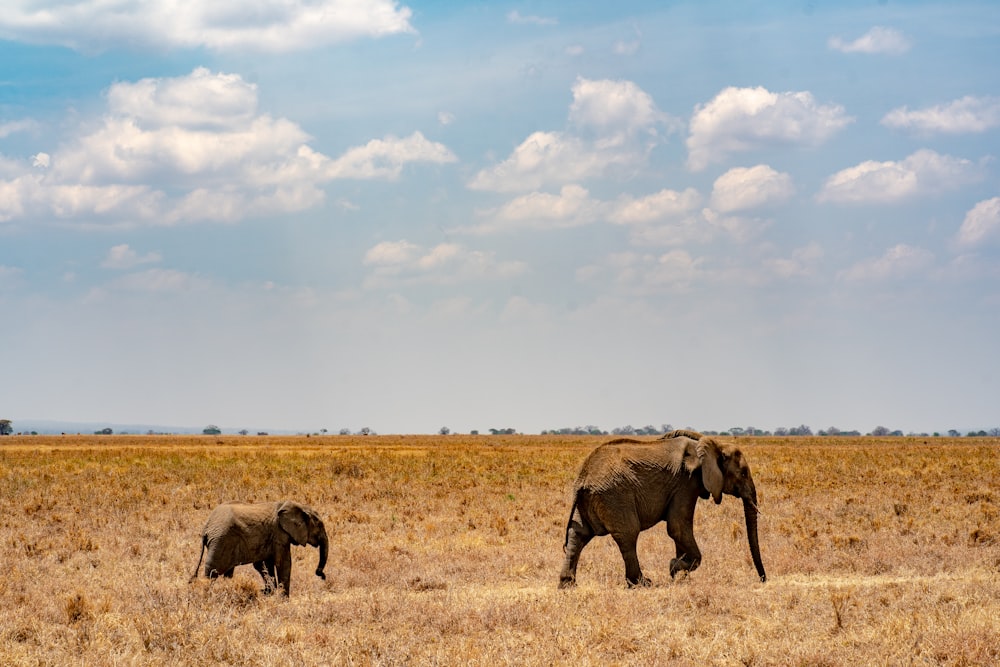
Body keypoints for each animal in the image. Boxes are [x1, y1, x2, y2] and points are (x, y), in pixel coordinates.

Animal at [188, 500, 328, 596]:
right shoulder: (279, 535)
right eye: (320, 526)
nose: (322, 575)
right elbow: (283, 563)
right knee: (212, 572)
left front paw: (270, 593)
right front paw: (283, 598)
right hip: (220, 541)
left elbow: (263, 565)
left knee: (227, 572)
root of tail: (206, 527)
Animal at [556, 430, 764, 588]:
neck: (712, 444)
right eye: (743, 473)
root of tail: (583, 478)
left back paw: (567, 585)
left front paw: (680, 575)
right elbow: (677, 527)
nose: (763, 580)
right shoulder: (686, 484)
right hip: (614, 496)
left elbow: (678, 531)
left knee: (577, 534)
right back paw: (642, 584)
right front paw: (674, 568)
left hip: (591, 500)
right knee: (628, 534)